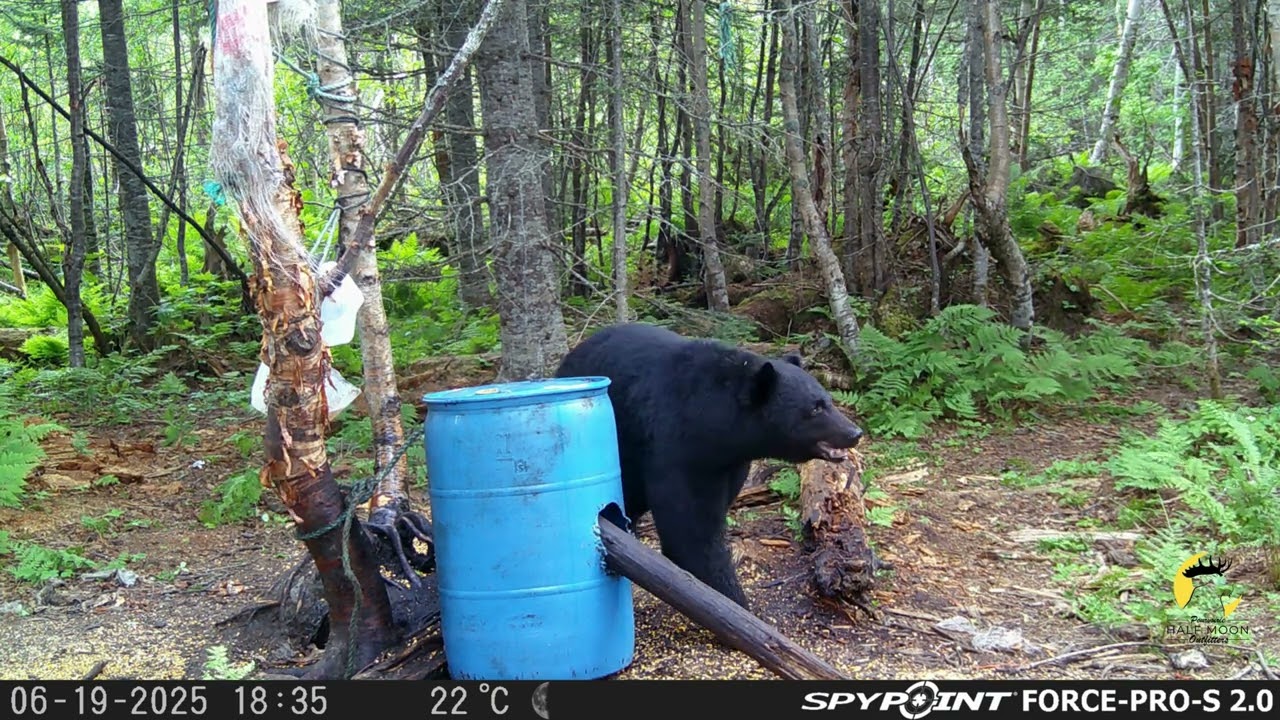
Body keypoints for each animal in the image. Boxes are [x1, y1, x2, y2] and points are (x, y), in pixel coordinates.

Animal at [554, 322, 864, 609]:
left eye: (828, 400)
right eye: (815, 408)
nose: (854, 432)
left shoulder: (730, 463)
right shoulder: (680, 447)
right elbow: (691, 531)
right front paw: (733, 600)